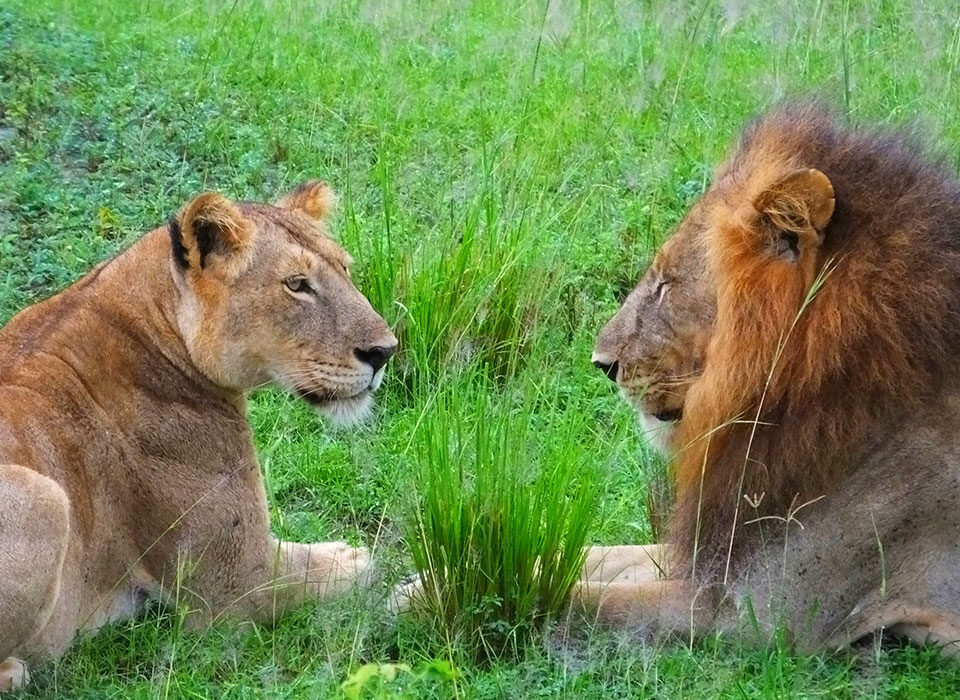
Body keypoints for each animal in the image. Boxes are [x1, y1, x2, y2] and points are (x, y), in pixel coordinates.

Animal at [0, 180, 397, 691]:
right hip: (43, 496)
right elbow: (331, 573)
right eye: (296, 284)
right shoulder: (237, 584)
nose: (385, 352)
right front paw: (352, 557)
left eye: (345, 270)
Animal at [583, 102, 960, 656]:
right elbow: (596, 556)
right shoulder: (721, 552)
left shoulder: (760, 614)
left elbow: (582, 600)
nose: (601, 363)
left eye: (666, 285)